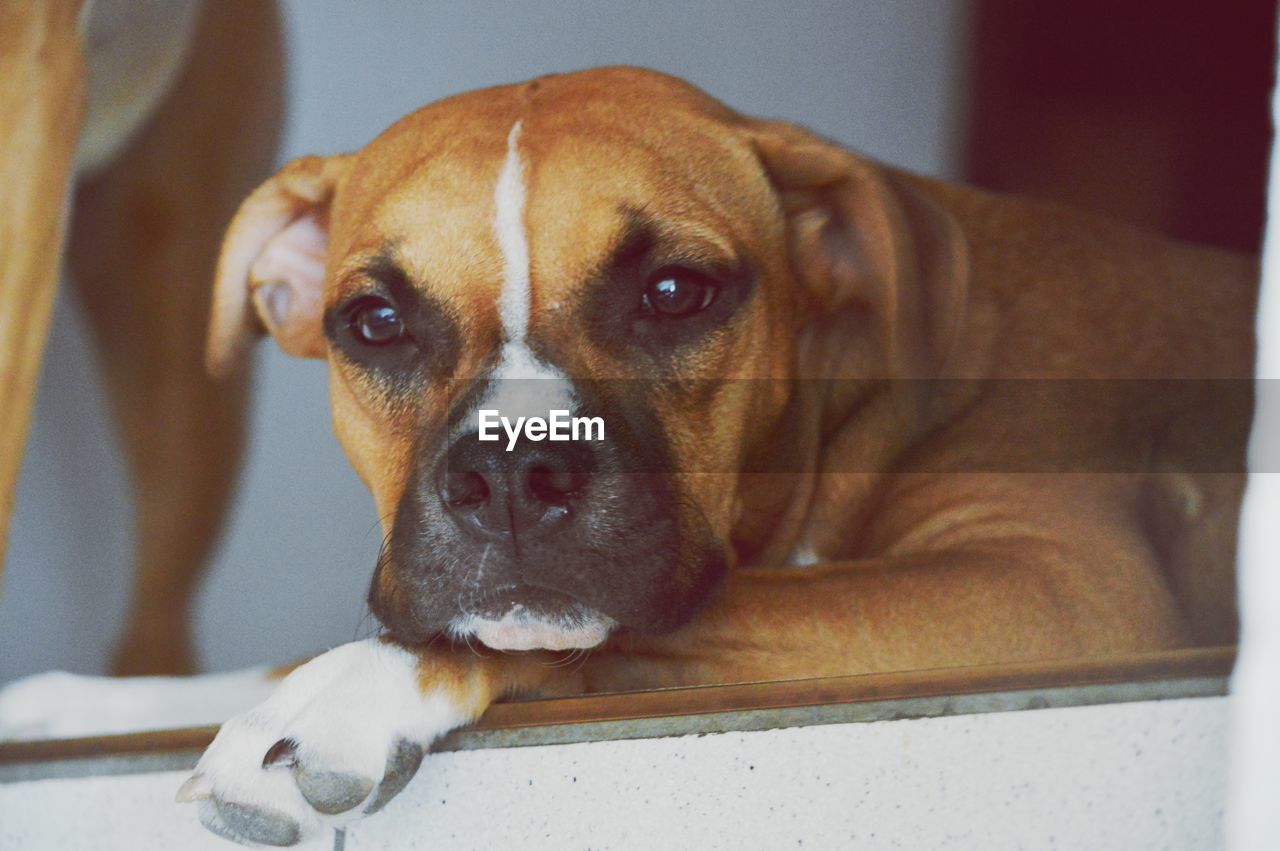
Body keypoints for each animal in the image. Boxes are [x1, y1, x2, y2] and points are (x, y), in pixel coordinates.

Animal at [115, 66, 1254, 844]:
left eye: (673, 292)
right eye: (376, 322)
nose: (512, 474)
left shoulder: (1056, 588)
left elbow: (633, 631)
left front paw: (347, 692)